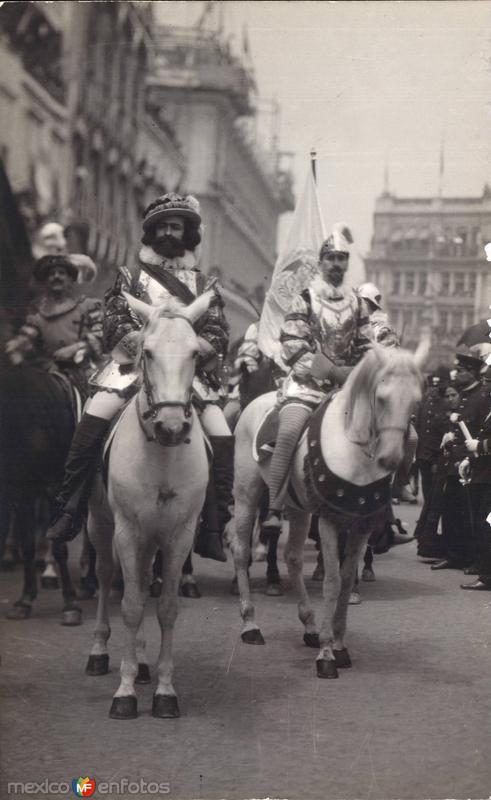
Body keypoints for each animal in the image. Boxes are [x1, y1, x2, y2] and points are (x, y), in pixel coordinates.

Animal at [86, 290, 213, 720]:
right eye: (149, 352)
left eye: (195, 353)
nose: (171, 427)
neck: (161, 456)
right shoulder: (127, 530)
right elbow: (130, 605)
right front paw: (124, 693)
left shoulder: (178, 535)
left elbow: (166, 608)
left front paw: (164, 690)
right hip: (101, 526)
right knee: (109, 578)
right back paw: (100, 652)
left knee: (141, 582)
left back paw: (142, 665)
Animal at [233, 346, 424, 680]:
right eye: (381, 398)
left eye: (415, 401)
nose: (390, 458)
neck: (354, 449)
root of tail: (256, 402)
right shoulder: (329, 519)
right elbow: (333, 582)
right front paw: (326, 654)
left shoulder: (360, 524)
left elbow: (347, 581)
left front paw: (338, 645)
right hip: (247, 492)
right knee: (242, 551)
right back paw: (251, 625)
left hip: (297, 508)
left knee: (293, 558)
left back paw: (309, 626)